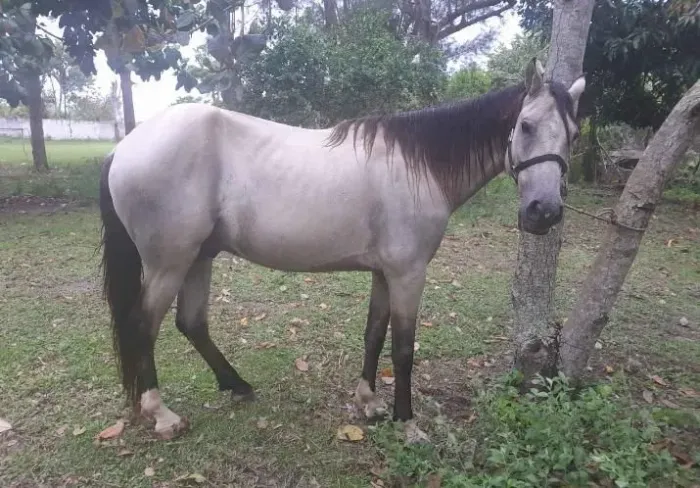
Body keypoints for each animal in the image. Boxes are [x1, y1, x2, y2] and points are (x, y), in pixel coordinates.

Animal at [98, 58, 585, 442]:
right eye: (525, 125)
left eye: (574, 134)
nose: (543, 212)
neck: (420, 166)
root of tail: (125, 147)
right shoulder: (409, 273)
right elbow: (403, 349)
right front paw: (408, 423)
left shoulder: (384, 272)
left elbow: (374, 334)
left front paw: (369, 402)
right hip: (169, 262)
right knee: (142, 325)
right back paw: (162, 414)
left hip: (199, 256)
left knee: (191, 323)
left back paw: (236, 385)